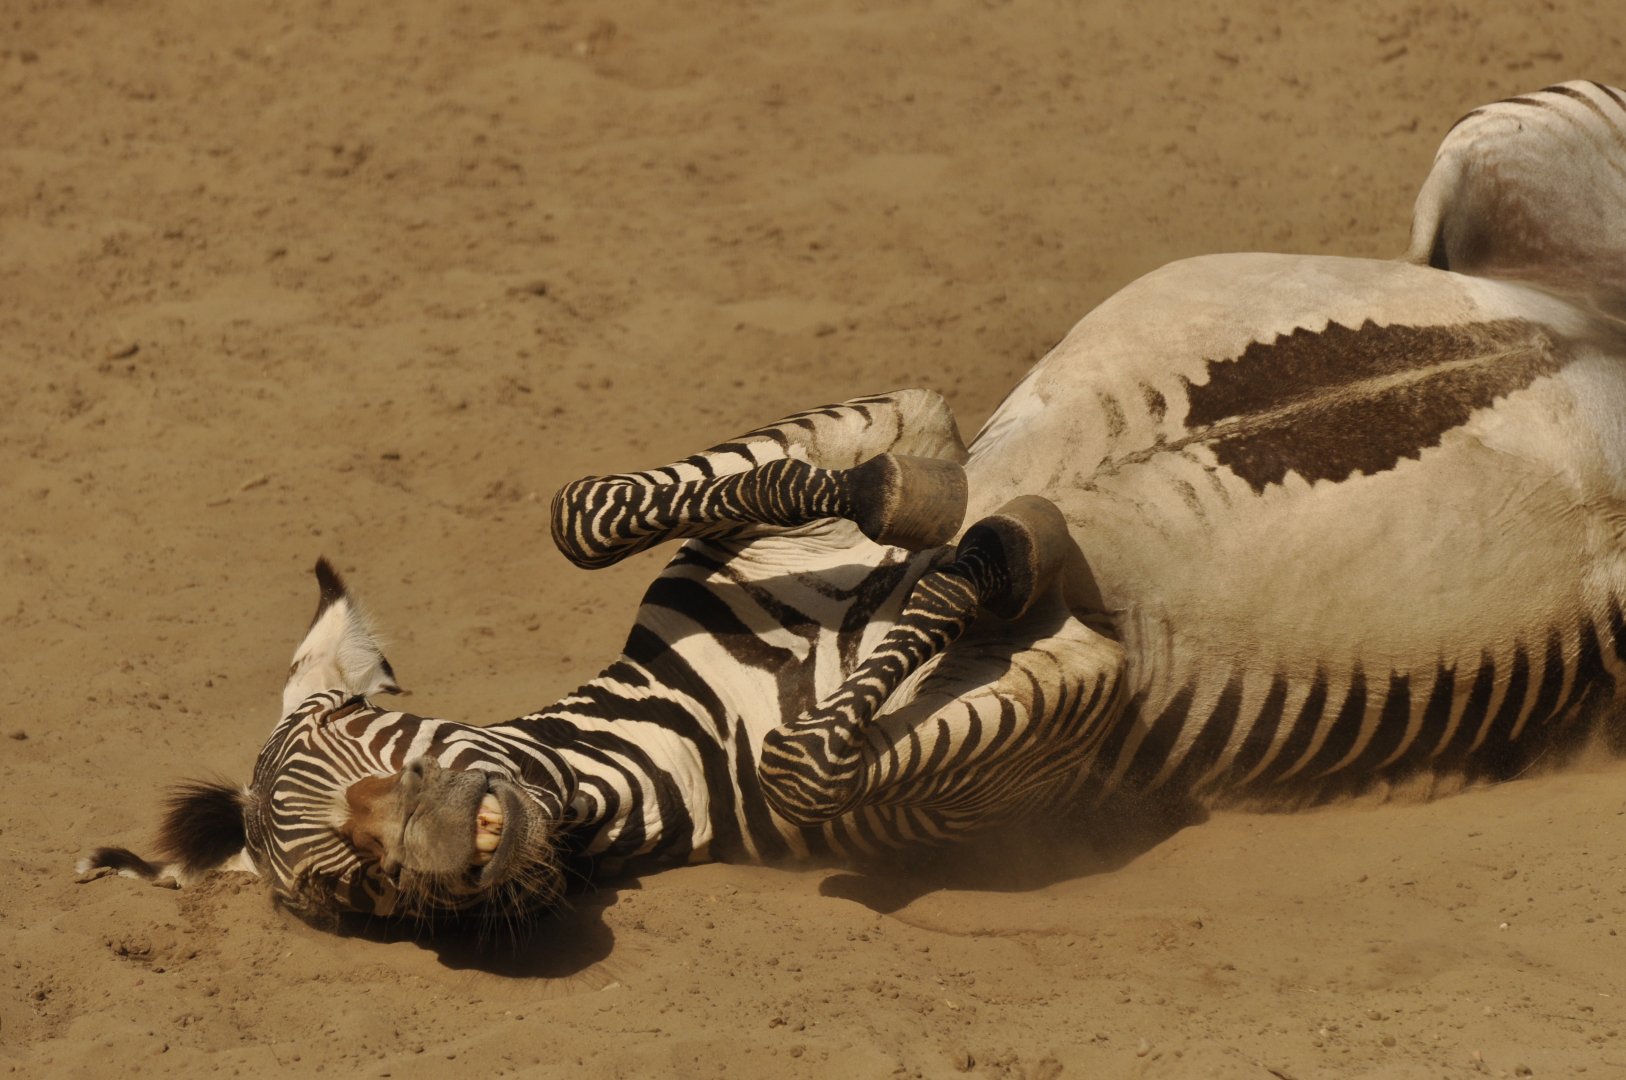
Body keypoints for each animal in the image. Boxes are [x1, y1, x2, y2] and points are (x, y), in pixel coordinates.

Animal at [82, 81, 1626, 929]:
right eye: (346, 895)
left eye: (370, 735)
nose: (438, 845)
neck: (684, 723)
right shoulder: (1054, 719)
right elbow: (812, 752)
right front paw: (984, 552)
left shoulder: (849, 467)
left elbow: (599, 504)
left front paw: (928, 498)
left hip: (1492, 151)